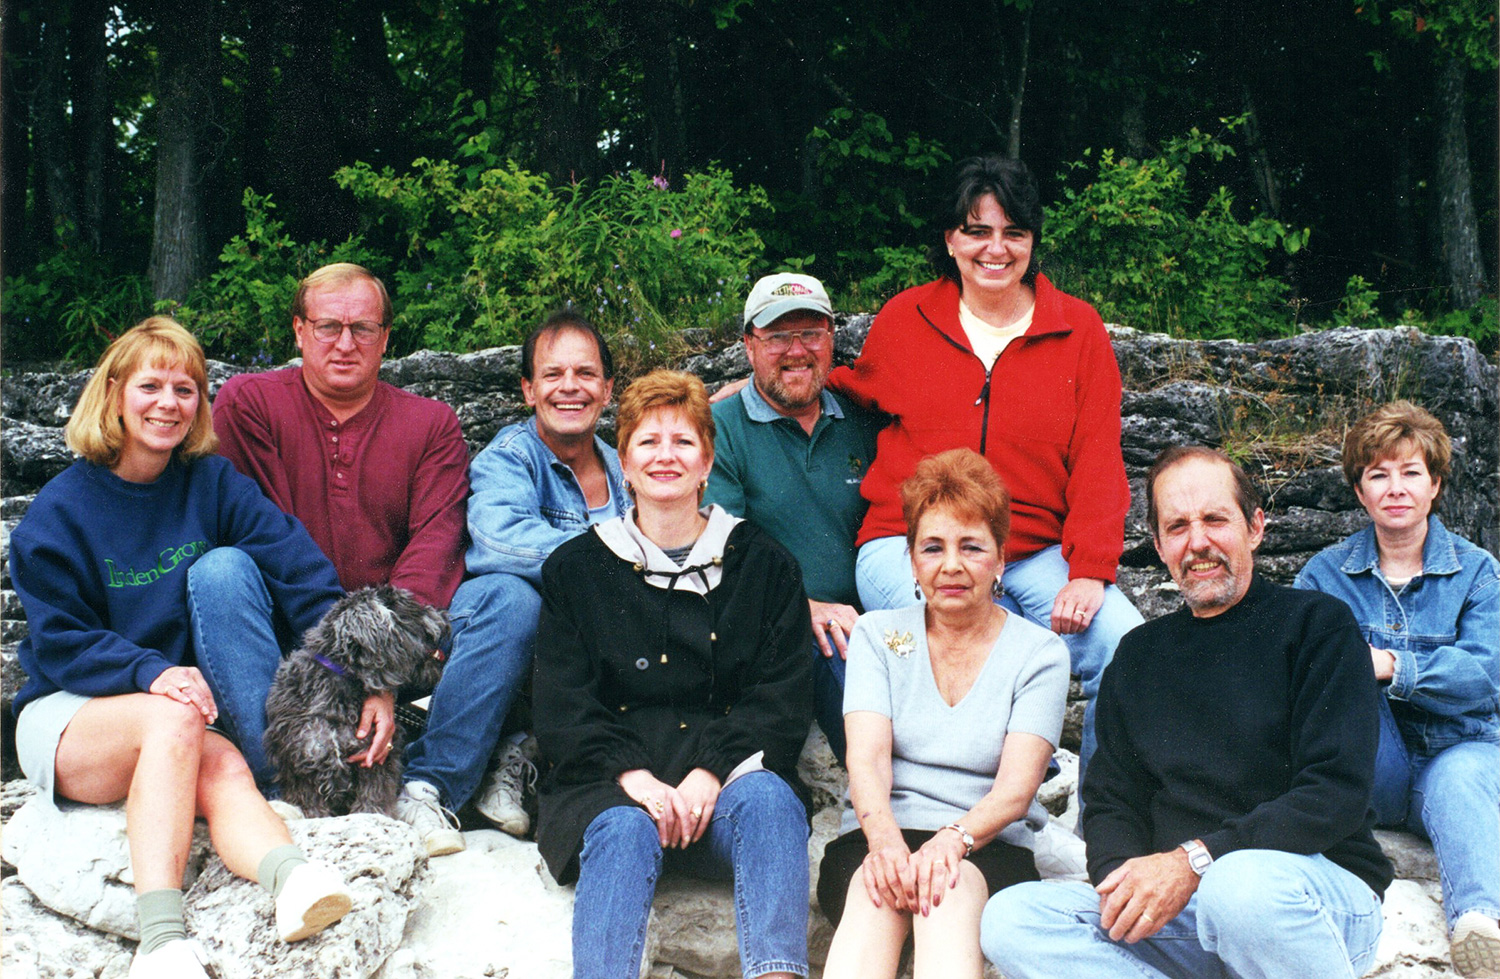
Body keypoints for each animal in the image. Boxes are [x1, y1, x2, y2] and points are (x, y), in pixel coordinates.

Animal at [264, 581, 444, 815]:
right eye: (412, 609)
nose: (445, 616)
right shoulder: (303, 763)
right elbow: (312, 806)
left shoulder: (376, 760)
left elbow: (373, 799)